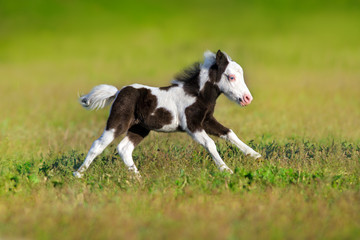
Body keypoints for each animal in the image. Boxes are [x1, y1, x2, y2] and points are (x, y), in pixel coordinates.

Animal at [74, 50, 262, 178]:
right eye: (231, 77)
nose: (247, 98)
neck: (197, 94)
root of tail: (118, 92)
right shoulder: (192, 125)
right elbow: (210, 143)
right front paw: (226, 170)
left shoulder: (207, 120)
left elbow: (229, 133)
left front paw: (255, 155)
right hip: (118, 122)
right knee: (98, 144)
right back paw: (78, 174)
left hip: (140, 128)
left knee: (124, 148)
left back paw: (138, 179)